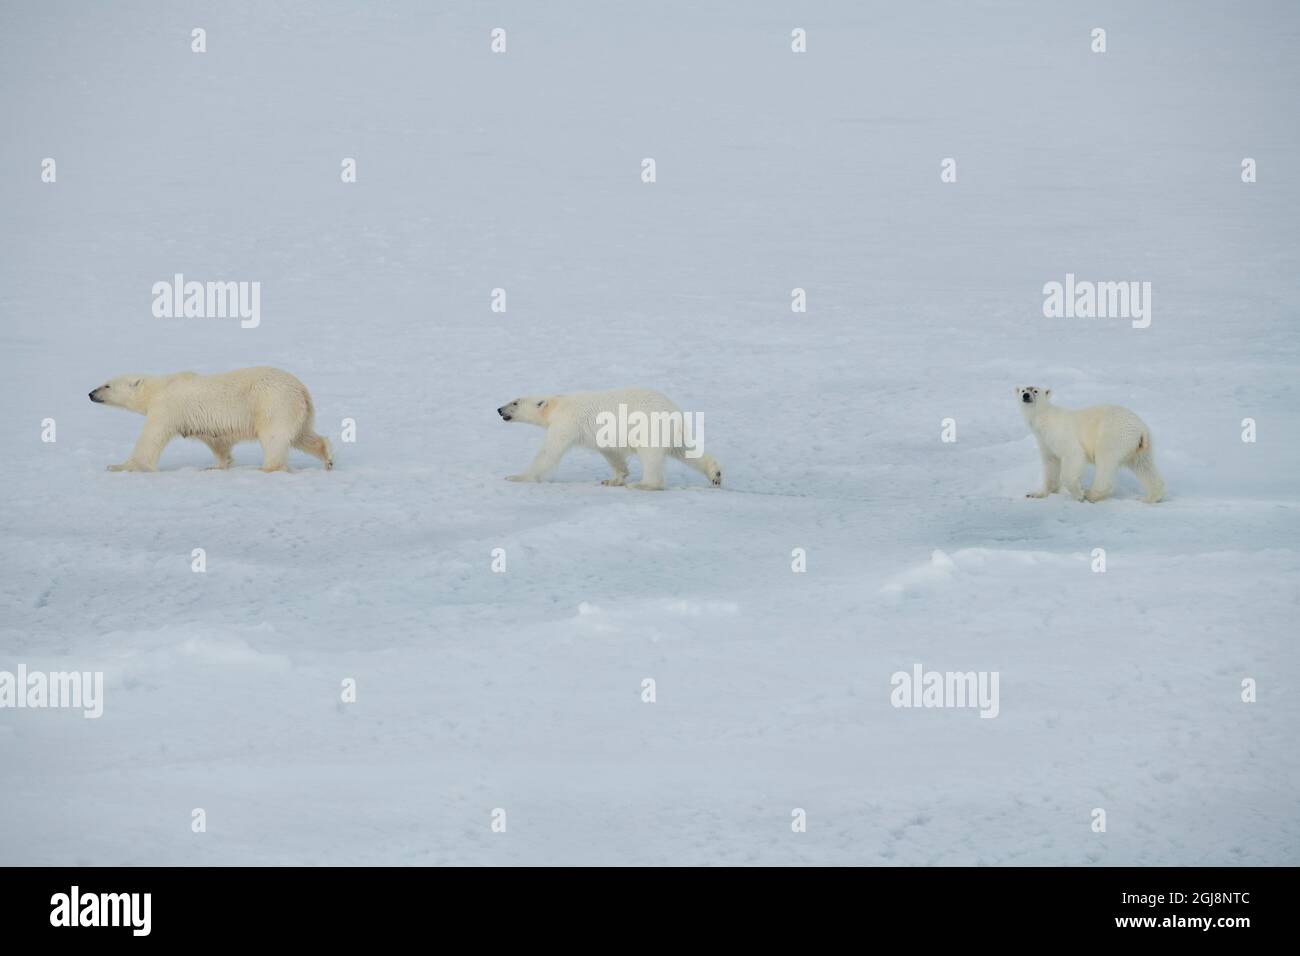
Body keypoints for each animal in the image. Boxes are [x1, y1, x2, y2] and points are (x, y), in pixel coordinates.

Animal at [89, 366, 332, 470]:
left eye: (107, 385)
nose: (91, 393)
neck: (159, 388)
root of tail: (302, 390)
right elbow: (217, 441)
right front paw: (218, 465)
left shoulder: (166, 408)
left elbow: (150, 438)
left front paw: (118, 466)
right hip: (296, 410)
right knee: (301, 435)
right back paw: (326, 458)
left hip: (273, 404)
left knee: (274, 438)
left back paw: (268, 468)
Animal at [496, 390, 722, 494]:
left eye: (515, 402)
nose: (499, 409)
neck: (558, 405)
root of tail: (674, 411)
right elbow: (611, 452)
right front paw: (613, 479)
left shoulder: (566, 422)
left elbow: (548, 452)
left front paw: (515, 477)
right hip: (670, 430)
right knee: (685, 450)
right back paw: (715, 474)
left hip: (649, 425)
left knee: (651, 456)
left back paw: (643, 484)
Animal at [1019, 385, 1164, 504]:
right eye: (1023, 389)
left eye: (1035, 390)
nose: (1025, 395)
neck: (1044, 419)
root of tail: (1141, 429)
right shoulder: (1045, 442)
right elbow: (1051, 464)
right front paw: (1035, 494)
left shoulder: (1060, 434)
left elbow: (1074, 455)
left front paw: (1079, 494)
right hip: (1139, 447)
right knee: (1144, 467)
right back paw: (1149, 497)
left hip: (1113, 436)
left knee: (1105, 462)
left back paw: (1091, 494)